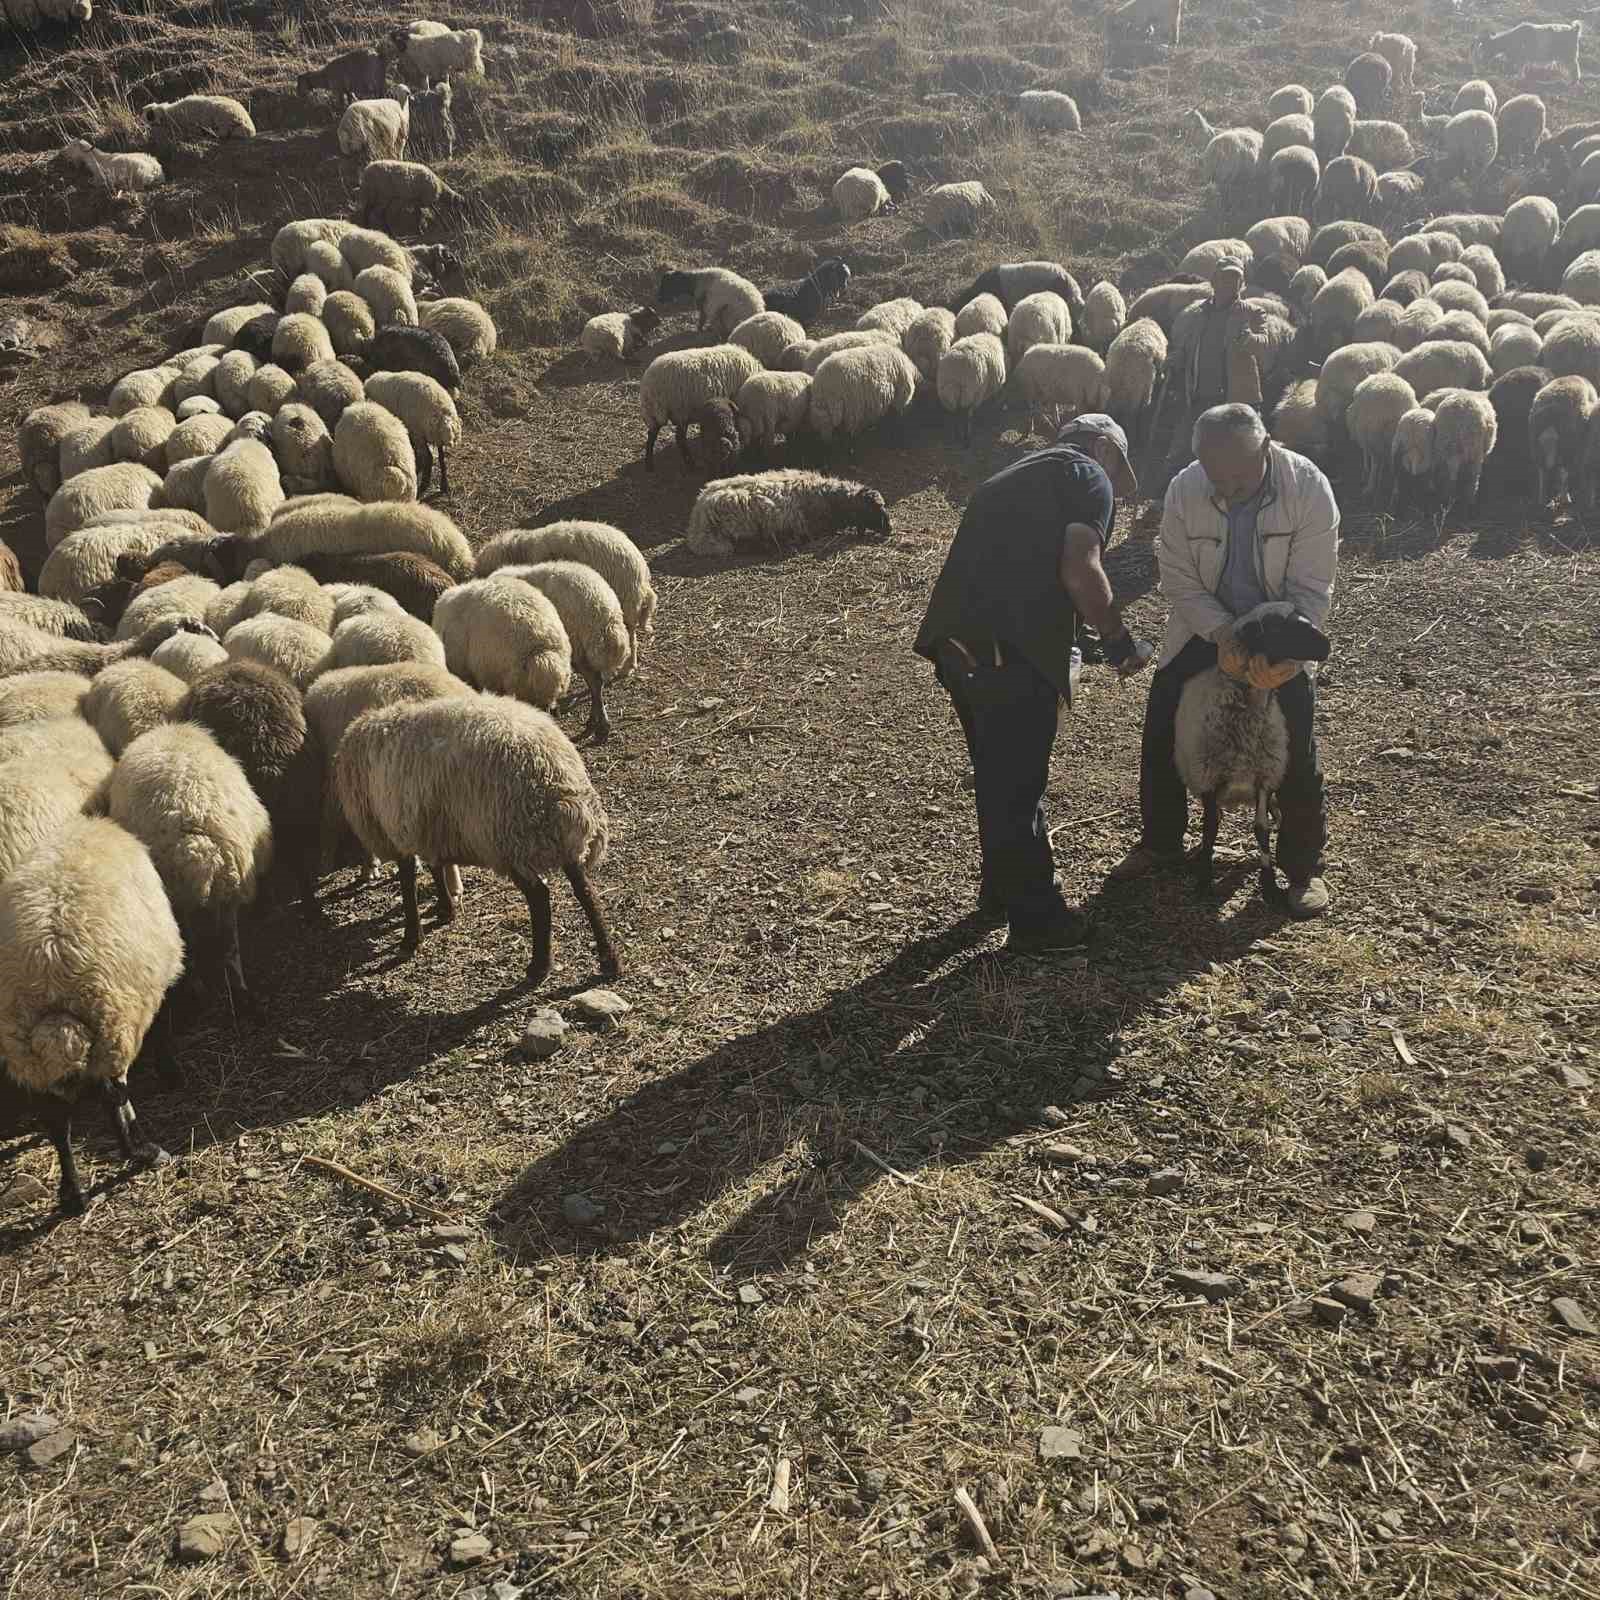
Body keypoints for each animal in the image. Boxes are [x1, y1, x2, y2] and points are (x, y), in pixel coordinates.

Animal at [0, 812, 183, 1209]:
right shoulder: (155, 985)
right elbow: (163, 1029)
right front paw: (171, 1073)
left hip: (28, 1054)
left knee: (56, 1118)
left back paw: (72, 1193)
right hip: (113, 1025)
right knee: (112, 1095)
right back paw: (142, 1151)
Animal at [111, 720, 270, 992]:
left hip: (180, 894)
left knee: (193, 943)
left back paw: (196, 984)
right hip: (231, 888)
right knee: (230, 947)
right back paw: (239, 989)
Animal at [334, 694, 614, 979]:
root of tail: (558, 776)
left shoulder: (398, 827)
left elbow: (407, 881)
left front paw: (411, 939)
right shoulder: (429, 825)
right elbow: (436, 866)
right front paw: (445, 909)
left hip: (511, 838)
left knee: (540, 898)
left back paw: (539, 966)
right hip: (556, 840)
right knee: (585, 890)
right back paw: (610, 960)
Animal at [1177, 601, 1337, 902]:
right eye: (1276, 627)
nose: (1326, 645)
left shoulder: (1263, 777)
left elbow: (1261, 830)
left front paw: (1269, 883)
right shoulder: (1209, 779)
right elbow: (1210, 827)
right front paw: (1204, 879)